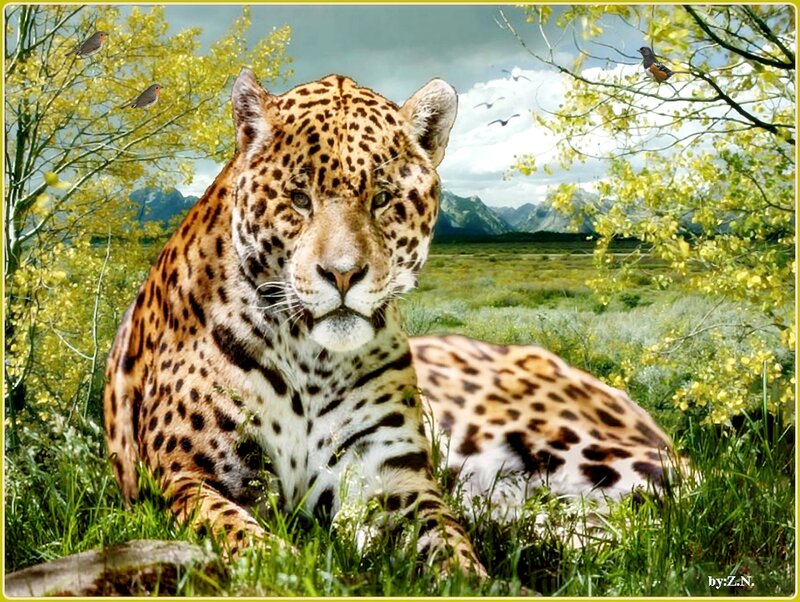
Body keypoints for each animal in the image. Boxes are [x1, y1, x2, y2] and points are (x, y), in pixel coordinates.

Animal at [103, 68, 680, 579]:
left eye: (382, 199)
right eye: (298, 199)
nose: (343, 273)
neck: (311, 360)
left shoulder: (389, 475)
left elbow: (446, 543)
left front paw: (473, 578)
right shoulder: (187, 476)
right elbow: (241, 536)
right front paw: (287, 569)